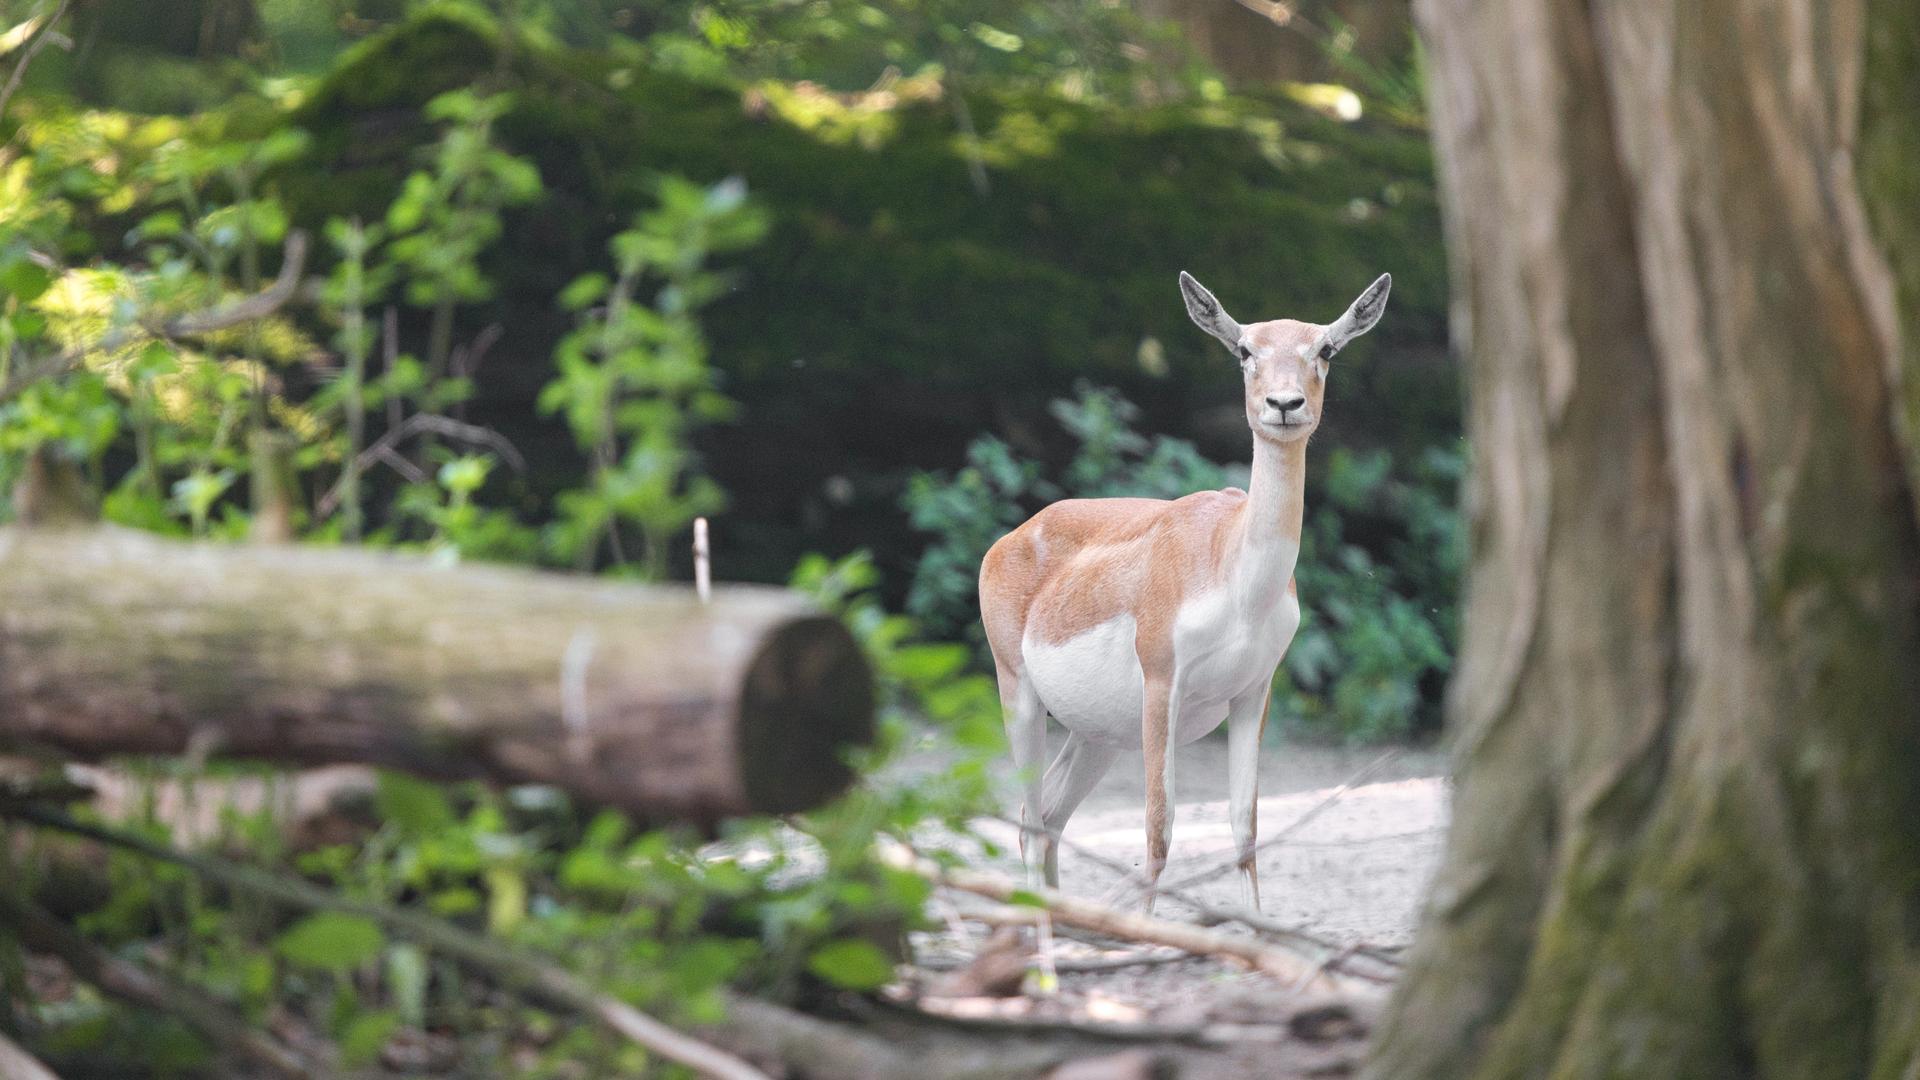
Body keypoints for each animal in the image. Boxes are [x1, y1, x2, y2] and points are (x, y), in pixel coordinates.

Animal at [983, 269, 1390, 907]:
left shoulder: (1253, 693)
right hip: (1019, 694)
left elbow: (1244, 834)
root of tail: (1013, 538)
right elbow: (1158, 834)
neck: (1234, 576)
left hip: (1098, 735)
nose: (1284, 404)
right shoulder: (1161, 684)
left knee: (1048, 819)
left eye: (1325, 349)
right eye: (1244, 350)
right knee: (1029, 824)